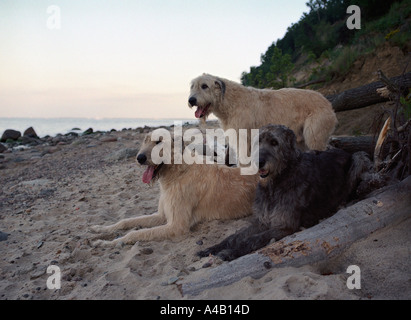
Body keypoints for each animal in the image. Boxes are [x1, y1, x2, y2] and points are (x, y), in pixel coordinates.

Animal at [188, 74, 336, 152]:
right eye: (192, 86)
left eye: (204, 86)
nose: (191, 100)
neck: (230, 103)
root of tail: (328, 103)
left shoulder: (244, 139)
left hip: (314, 135)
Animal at [200, 124, 374, 262]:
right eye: (258, 142)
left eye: (274, 142)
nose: (259, 162)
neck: (276, 183)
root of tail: (345, 151)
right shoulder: (261, 221)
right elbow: (235, 236)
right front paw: (213, 248)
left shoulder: (285, 226)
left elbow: (255, 239)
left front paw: (231, 252)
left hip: (359, 157)